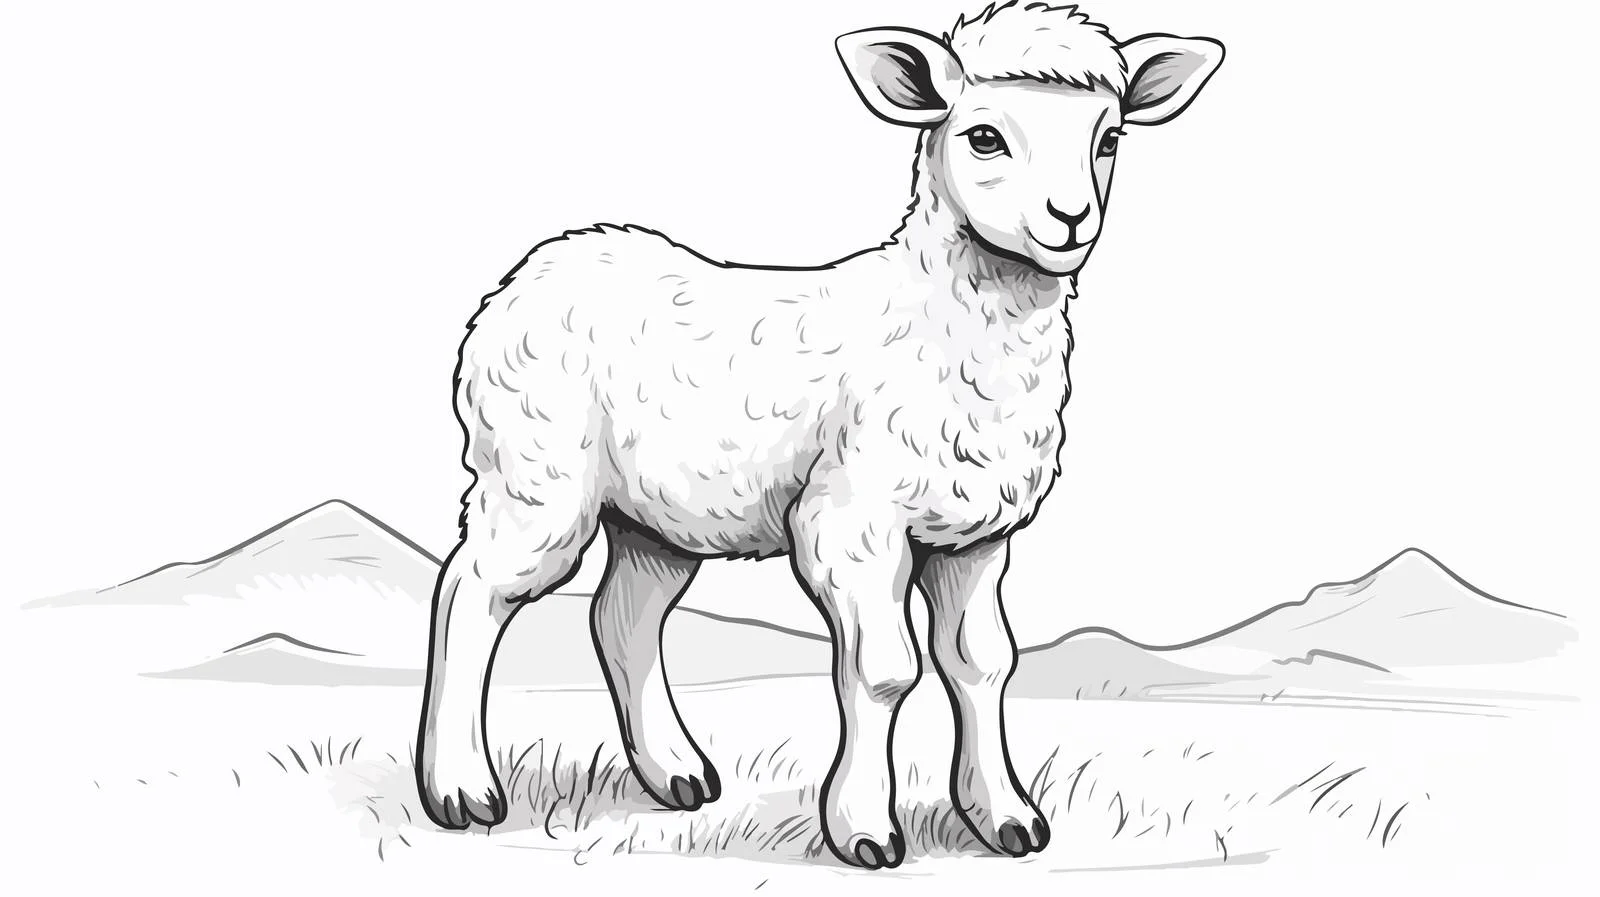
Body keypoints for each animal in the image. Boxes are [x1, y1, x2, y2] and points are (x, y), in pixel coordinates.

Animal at [416, 1, 1223, 869]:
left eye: (1109, 138)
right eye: (983, 136)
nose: (1071, 219)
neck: (943, 321)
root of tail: (537, 268)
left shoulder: (975, 533)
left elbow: (983, 663)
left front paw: (1005, 817)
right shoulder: (852, 518)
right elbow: (885, 671)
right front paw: (866, 827)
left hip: (656, 513)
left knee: (623, 615)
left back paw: (677, 774)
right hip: (535, 472)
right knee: (470, 587)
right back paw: (461, 789)